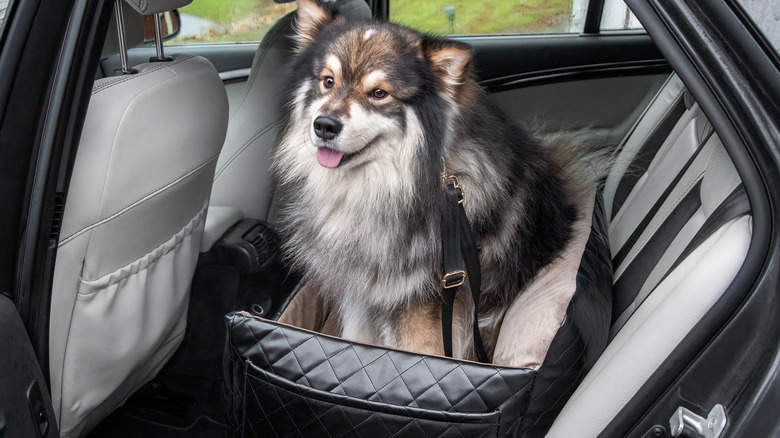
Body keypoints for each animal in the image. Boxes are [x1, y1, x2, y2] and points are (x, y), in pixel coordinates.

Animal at [274, 0, 608, 362]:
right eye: (327, 81)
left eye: (379, 93)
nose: (324, 126)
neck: (389, 187)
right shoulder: (362, 296)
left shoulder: (423, 310)